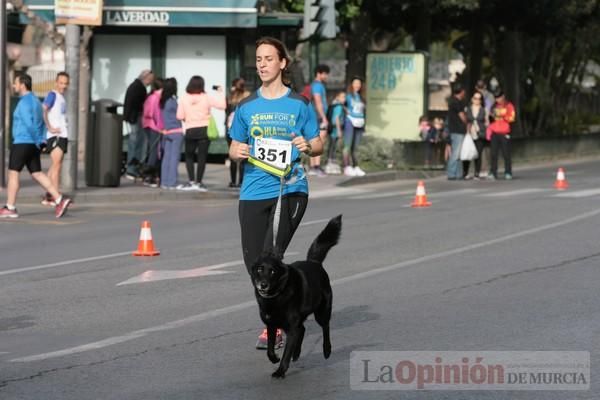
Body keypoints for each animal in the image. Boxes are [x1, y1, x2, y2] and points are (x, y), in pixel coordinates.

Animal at [250, 214, 342, 376]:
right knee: (303, 329)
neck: (277, 295)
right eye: (260, 269)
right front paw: (275, 358)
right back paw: (297, 353)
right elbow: (269, 349)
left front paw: (280, 371)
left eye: (272, 271)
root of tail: (314, 262)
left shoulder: (292, 329)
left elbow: (286, 352)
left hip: (322, 312)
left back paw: (326, 350)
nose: (263, 284)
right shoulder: (271, 325)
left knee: (325, 327)